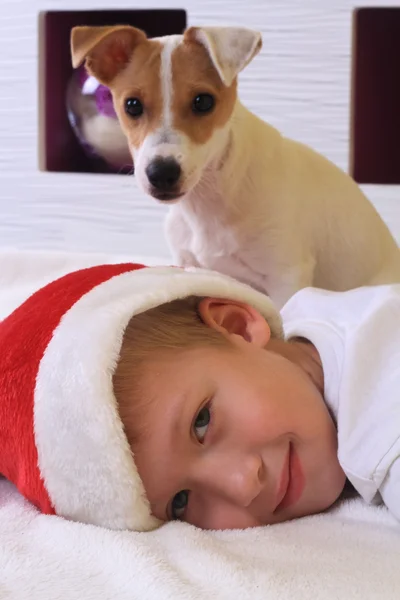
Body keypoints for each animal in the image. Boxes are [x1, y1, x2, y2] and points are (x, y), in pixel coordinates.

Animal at [71, 24, 400, 308]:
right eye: (132, 105)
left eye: (203, 101)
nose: (161, 174)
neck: (211, 198)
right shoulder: (193, 266)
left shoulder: (286, 277)